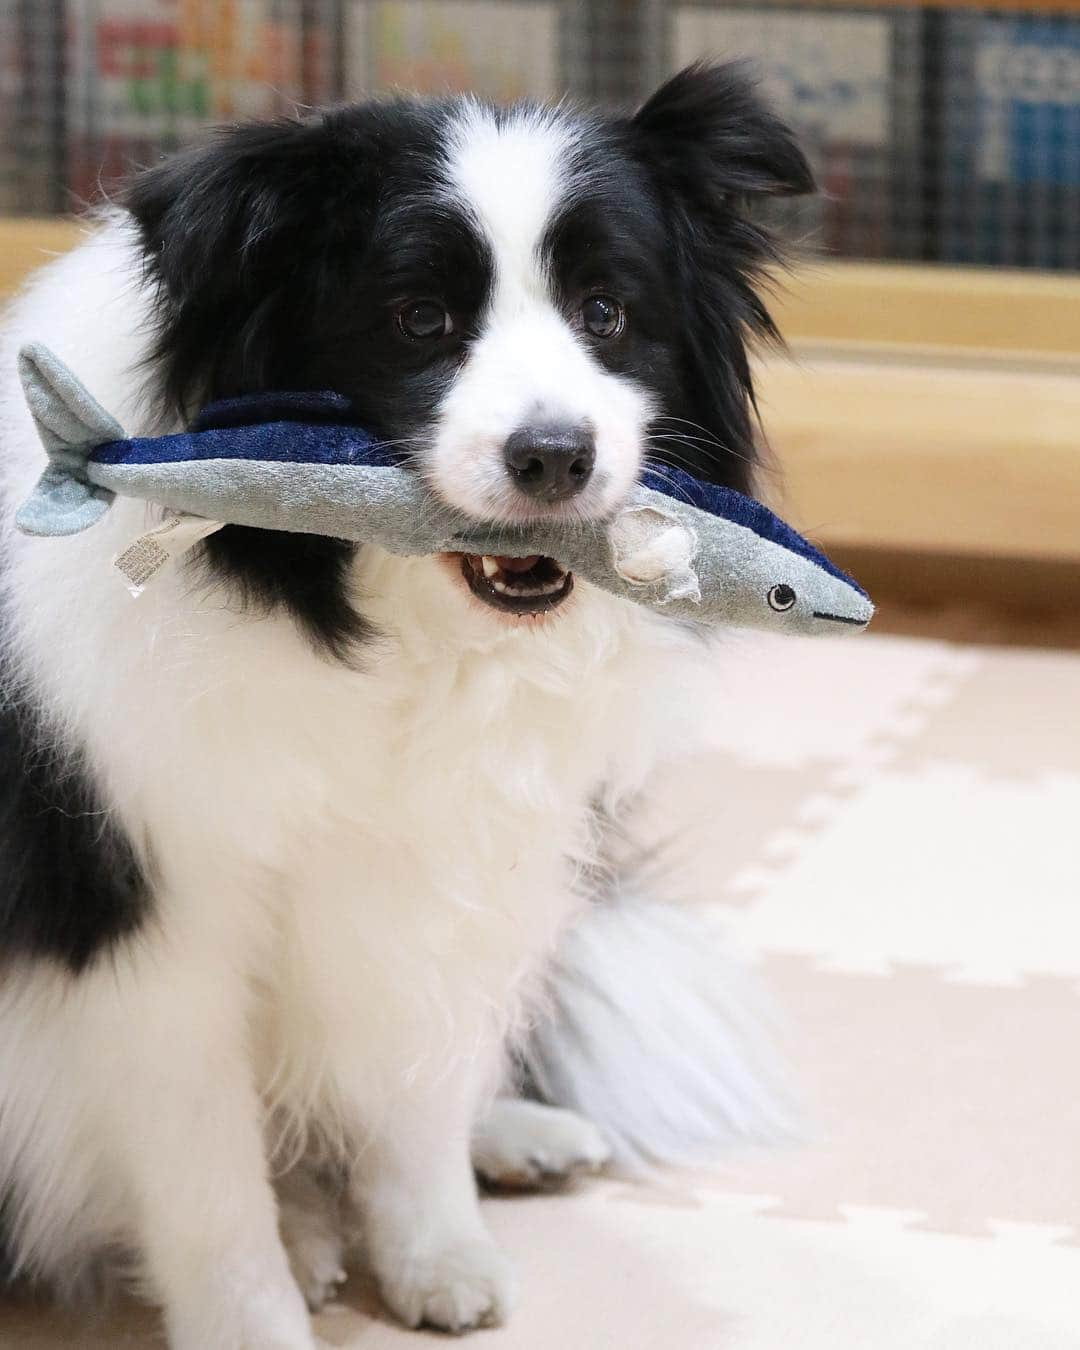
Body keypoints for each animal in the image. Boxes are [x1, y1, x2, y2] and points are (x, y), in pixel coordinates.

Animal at [0, 65, 810, 1350]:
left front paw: (436, 1256)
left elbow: (414, 1093)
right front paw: (258, 1326)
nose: (554, 455)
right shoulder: (152, 936)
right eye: (419, 320)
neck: (375, 636)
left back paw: (514, 1138)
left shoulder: (450, 872)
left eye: (605, 312)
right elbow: (208, 1185)